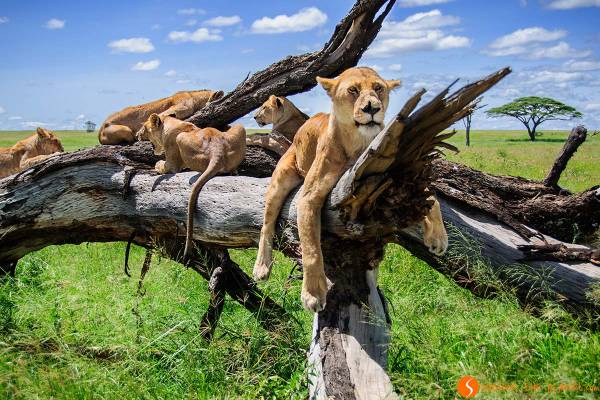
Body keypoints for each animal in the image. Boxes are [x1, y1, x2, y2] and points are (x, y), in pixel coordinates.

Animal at [142, 115, 247, 260]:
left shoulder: (172, 163)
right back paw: (234, 171)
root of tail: (217, 149)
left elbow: (162, 165)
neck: (169, 123)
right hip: (240, 127)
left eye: (144, 127)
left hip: (180, 138)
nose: (138, 134)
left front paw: (156, 166)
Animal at [251, 67, 448, 312]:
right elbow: (311, 247)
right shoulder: (308, 197)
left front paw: (438, 237)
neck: (359, 142)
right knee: (266, 225)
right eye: (353, 90)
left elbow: (432, 195)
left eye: (378, 88)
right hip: (281, 179)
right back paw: (261, 267)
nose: (372, 108)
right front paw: (312, 294)